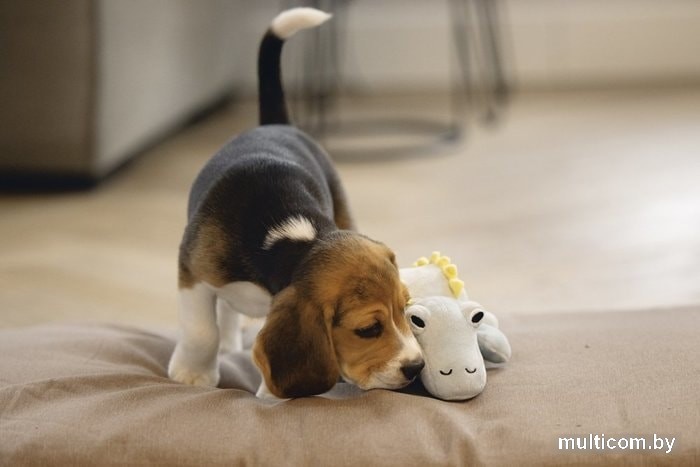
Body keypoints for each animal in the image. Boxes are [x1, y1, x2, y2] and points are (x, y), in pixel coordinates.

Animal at [168, 8, 424, 399]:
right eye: (368, 329)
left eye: (405, 309)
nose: (417, 366)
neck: (292, 240)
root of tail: (276, 125)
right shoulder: (193, 272)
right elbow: (201, 330)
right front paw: (192, 374)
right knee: (223, 312)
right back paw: (225, 344)